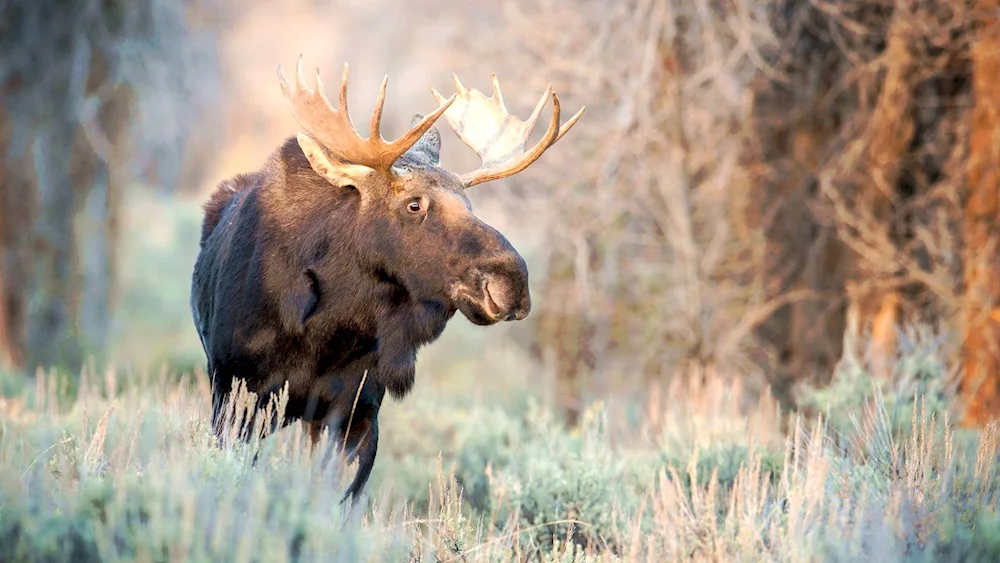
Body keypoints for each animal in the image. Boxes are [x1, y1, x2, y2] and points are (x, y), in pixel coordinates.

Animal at [190, 57, 584, 504]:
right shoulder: (238, 395)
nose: (511, 281)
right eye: (414, 204)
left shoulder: (357, 410)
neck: (324, 331)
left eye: (469, 204)